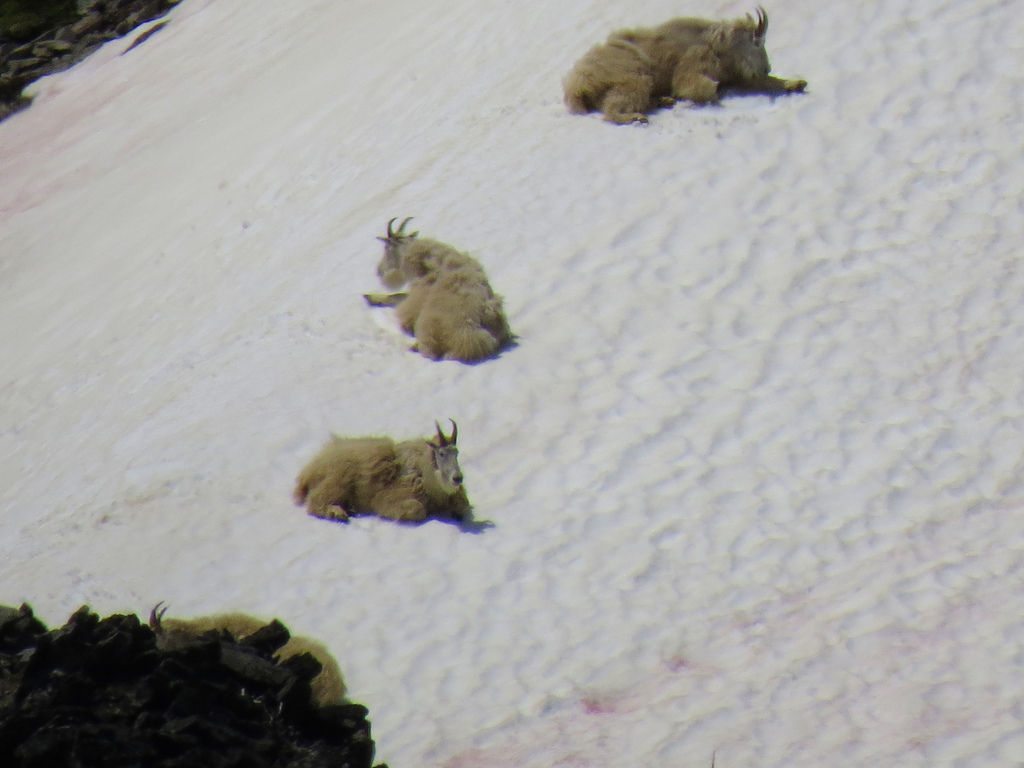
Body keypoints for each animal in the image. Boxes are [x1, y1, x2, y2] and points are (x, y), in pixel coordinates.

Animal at [293, 419, 470, 524]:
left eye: (457, 452)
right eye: (441, 454)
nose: (458, 478)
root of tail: (307, 472)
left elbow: (463, 506)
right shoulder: (388, 497)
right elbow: (418, 509)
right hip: (337, 481)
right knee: (315, 502)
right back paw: (337, 512)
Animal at [563, 7, 807, 124]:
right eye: (757, 41)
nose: (766, 68)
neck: (718, 46)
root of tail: (576, 85)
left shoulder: (738, 75)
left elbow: (767, 83)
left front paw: (797, 83)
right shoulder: (695, 64)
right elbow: (692, 87)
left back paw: (662, 101)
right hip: (633, 77)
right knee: (612, 108)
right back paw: (636, 118)